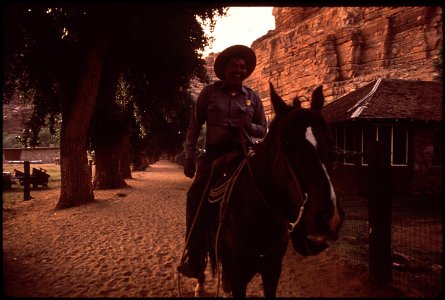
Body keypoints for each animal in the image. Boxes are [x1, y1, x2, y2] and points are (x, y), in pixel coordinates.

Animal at [191, 83, 344, 296]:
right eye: (286, 143)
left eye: (330, 143)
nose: (330, 219)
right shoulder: (239, 276)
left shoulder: (272, 270)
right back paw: (199, 284)